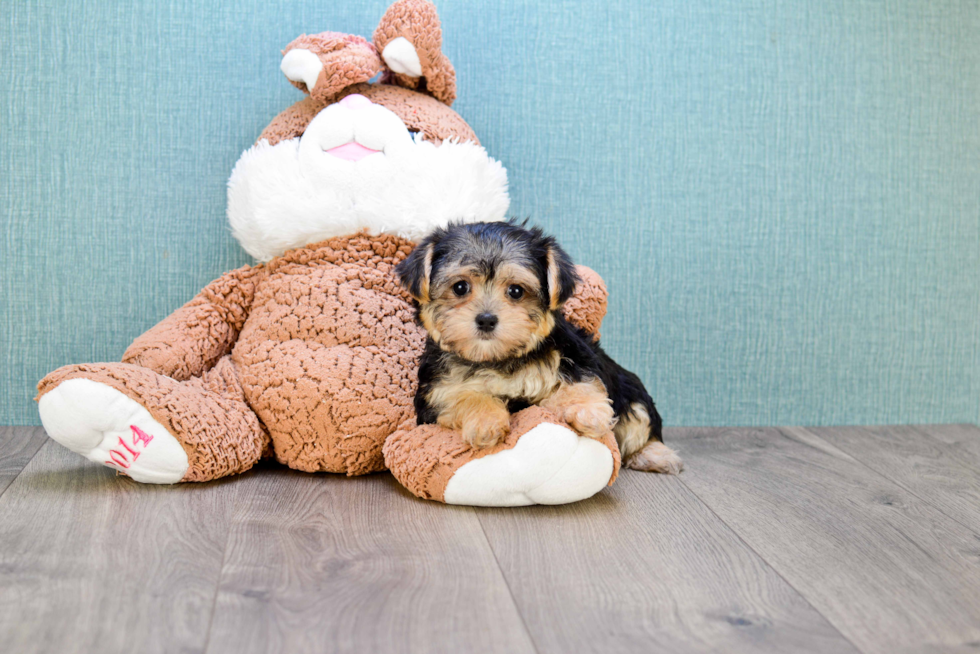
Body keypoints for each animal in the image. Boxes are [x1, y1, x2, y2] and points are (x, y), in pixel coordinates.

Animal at [394, 223, 684, 474]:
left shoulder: (571, 353)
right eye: (460, 287)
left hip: (633, 392)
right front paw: (486, 420)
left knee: (640, 422)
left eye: (516, 291)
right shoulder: (435, 392)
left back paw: (655, 455)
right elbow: (462, 396)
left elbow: (579, 380)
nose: (486, 319)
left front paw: (587, 411)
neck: (497, 358)